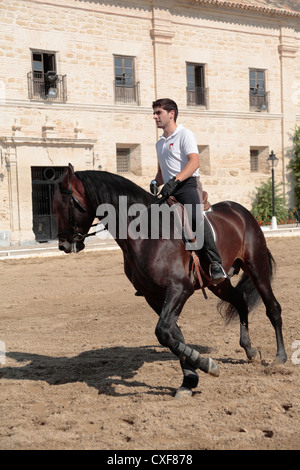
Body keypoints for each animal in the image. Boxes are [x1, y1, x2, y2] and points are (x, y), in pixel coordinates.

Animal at [52, 163, 288, 398]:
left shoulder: (179, 288)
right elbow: (172, 335)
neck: (145, 232)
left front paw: (206, 366)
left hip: (256, 267)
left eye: (65, 205)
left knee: (273, 308)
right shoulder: (153, 296)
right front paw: (190, 379)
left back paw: (281, 358)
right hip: (218, 284)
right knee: (240, 301)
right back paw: (250, 350)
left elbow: (163, 332)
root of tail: (239, 210)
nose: (63, 245)